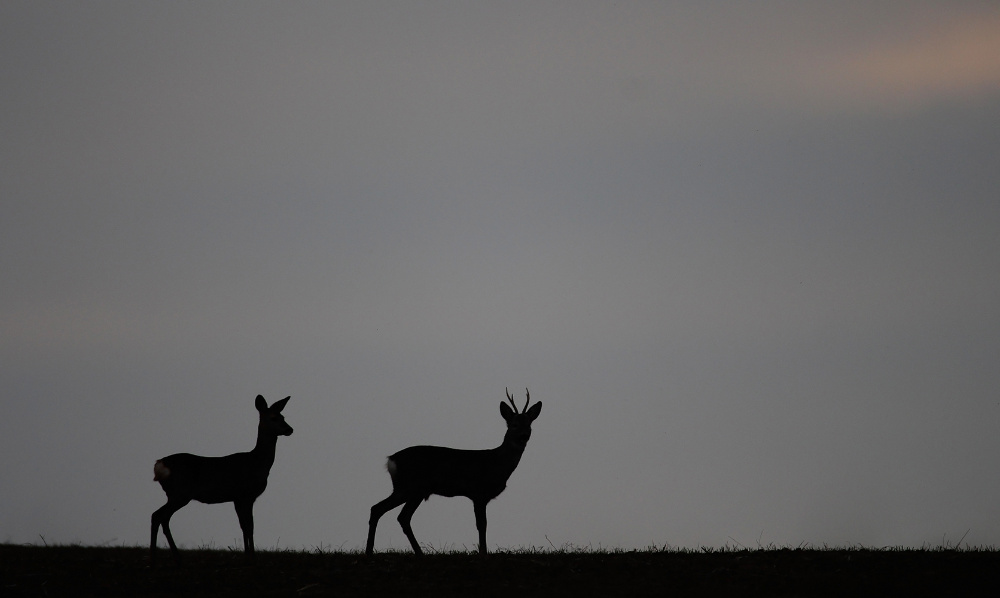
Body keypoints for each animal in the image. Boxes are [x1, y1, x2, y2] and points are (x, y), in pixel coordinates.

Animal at [149, 396, 292, 564]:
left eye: (283, 417)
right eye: (273, 418)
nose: (290, 429)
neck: (257, 463)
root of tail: (159, 464)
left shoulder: (238, 498)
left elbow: (244, 525)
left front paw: (247, 554)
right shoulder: (246, 495)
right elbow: (249, 526)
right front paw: (252, 557)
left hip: (174, 494)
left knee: (162, 518)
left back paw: (174, 556)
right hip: (180, 493)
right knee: (158, 515)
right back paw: (156, 557)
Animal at [366, 390, 540, 556]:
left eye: (529, 425)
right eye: (514, 424)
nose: (524, 436)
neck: (497, 463)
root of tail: (391, 460)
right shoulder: (478, 493)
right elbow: (482, 524)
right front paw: (483, 553)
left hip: (405, 488)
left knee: (379, 509)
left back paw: (371, 551)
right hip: (414, 487)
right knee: (401, 516)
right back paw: (417, 553)